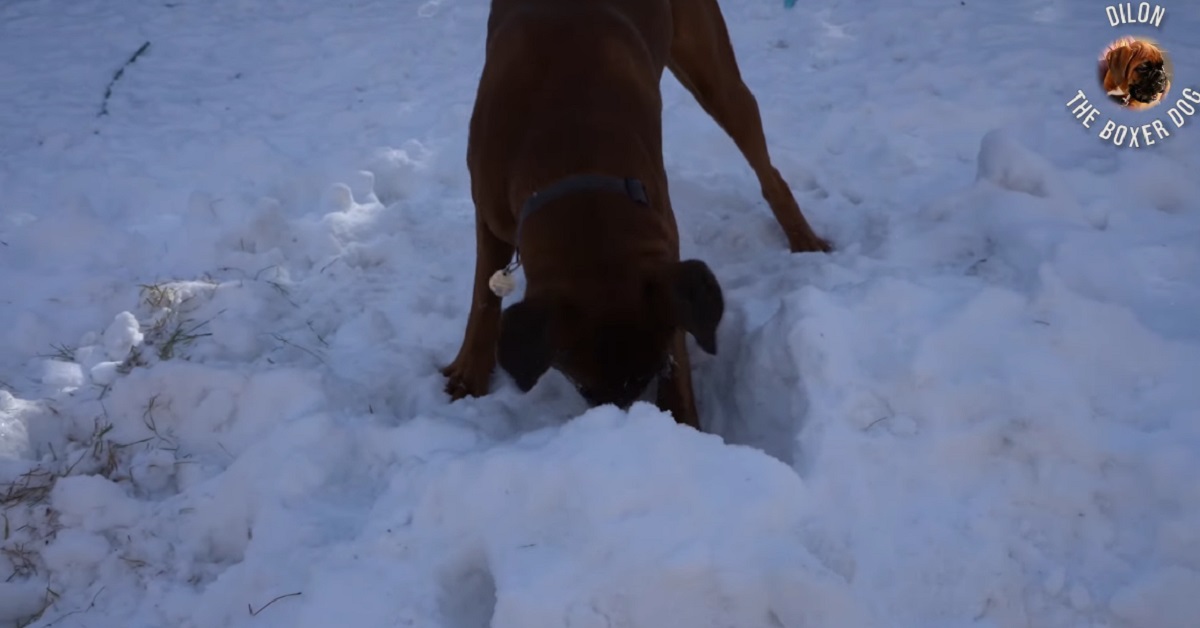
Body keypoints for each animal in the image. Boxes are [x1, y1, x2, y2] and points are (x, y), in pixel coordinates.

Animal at [439, 0, 825, 427]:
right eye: (583, 387)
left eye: (654, 372)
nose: (624, 420)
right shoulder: (489, 213)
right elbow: (483, 297)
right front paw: (470, 371)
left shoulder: (662, 237)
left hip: (716, 78)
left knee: (766, 168)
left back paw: (804, 238)